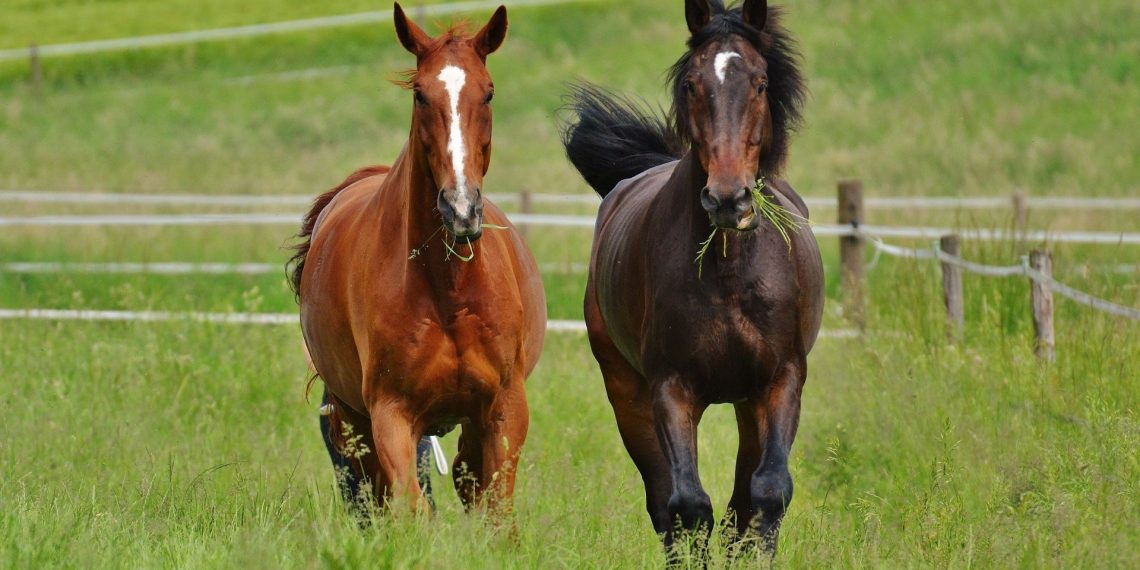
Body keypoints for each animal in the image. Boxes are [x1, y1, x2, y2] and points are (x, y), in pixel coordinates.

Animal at [290, 3, 546, 515]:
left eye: (488, 92)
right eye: (420, 95)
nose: (461, 208)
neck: (448, 290)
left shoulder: (505, 408)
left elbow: (495, 511)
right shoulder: (391, 414)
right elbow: (411, 507)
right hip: (355, 421)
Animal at [561, 0, 822, 556]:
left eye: (761, 82)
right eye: (691, 84)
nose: (728, 199)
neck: (729, 274)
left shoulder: (782, 378)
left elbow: (767, 493)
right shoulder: (671, 388)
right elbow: (687, 506)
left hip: (747, 400)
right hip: (627, 392)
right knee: (665, 503)